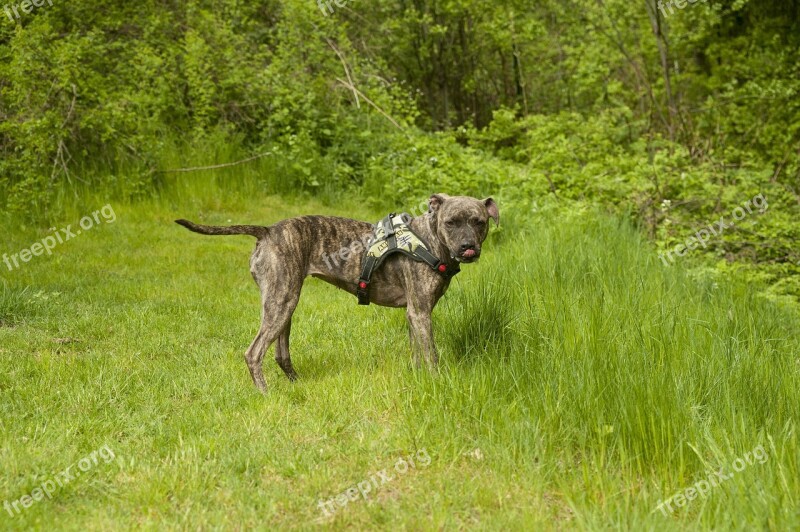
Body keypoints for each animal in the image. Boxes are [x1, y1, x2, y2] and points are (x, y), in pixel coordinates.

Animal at [178, 193, 496, 392]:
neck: (427, 240)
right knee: (253, 353)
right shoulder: (420, 313)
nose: (468, 246)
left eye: (479, 222)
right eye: (451, 222)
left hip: (285, 304)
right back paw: (265, 393)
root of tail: (267, 231)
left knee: (280, 353)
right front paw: (436, 382)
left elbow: (417, 353)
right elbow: (431, 355)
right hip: (281, 302)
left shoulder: (414, 314)